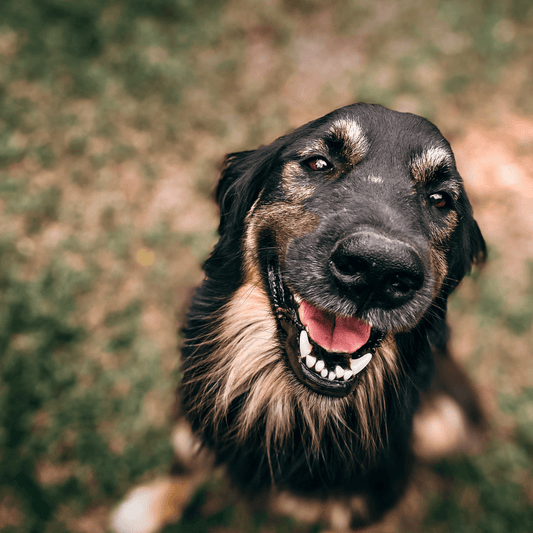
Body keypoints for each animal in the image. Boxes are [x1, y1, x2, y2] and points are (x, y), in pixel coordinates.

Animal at [110, 104, 484, 532]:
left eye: (440, 200)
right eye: (318, 163)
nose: (377, 270)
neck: (293, 406)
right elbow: (186, 458)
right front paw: (154, 504)